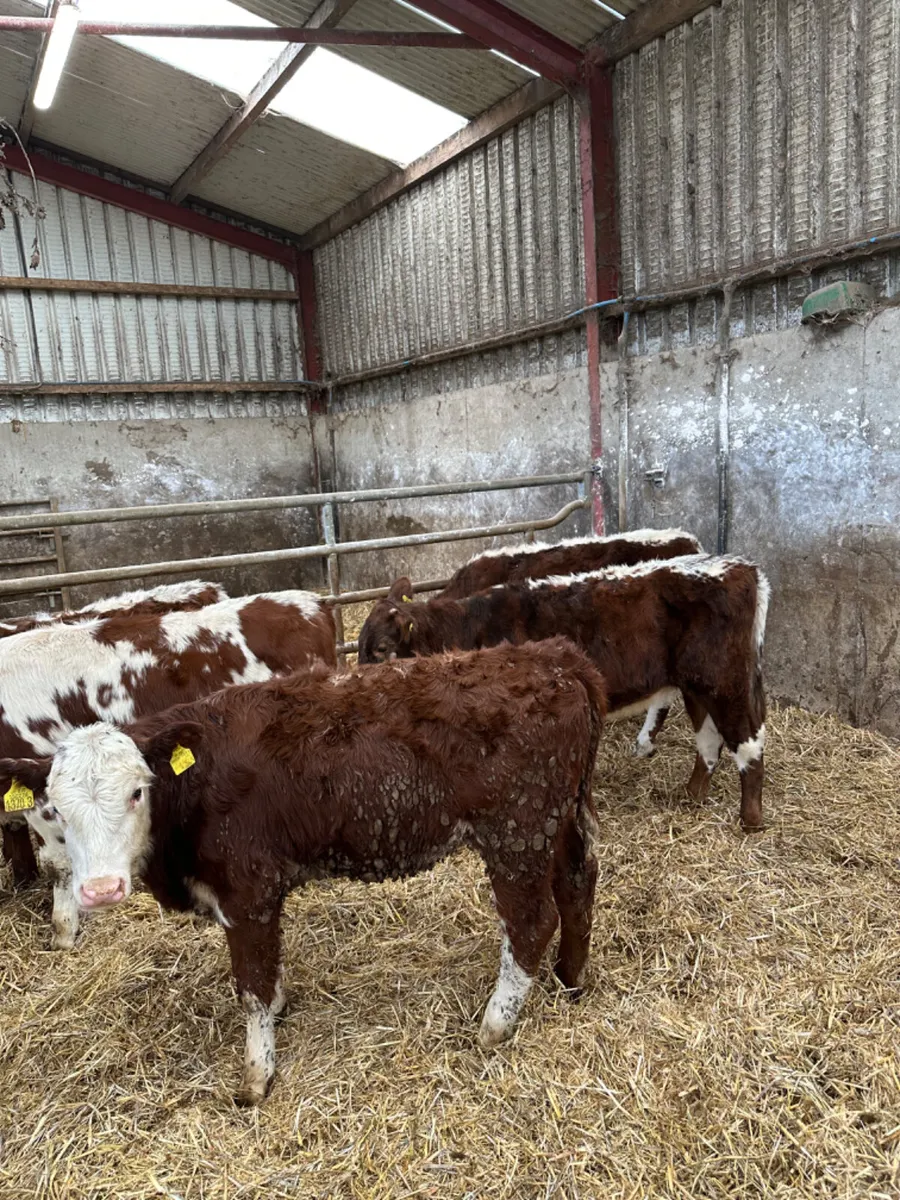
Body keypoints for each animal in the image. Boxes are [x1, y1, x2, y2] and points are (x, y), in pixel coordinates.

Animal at [0, 639, 607, 1105]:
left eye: (136, 792)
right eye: (56, 807)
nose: (101, 889)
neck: (196, 785)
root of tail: (553, 658)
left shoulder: (248, 893)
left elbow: (252, 986)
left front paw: (256, 1076)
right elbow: (269, 974)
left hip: (517, 833)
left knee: (531, 922)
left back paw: (495, 1025)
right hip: (558, 823)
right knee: (577, 886)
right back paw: (569, 980)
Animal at [358, 554, 770, 832]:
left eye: (381, 649)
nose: (357, 685)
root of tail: (740, 567)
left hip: (725, 681)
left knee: (748, 741)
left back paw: (750, 820)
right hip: (696, 685)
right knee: (709, 738)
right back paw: (692, 794)